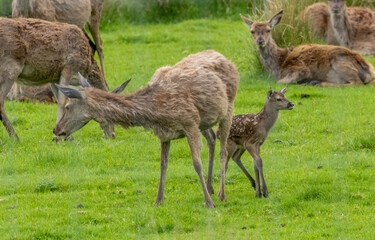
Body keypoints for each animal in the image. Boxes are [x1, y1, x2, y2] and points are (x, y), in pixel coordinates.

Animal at [52, 50, 241, 208]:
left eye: (68, 106)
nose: (56, 129)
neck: (157, 112)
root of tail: (228, 61)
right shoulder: (165, 134)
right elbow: (163, 164)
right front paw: (158, 200)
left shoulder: (190, 123)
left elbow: (196, 163)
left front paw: (209, 203)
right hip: (205, 121)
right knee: (212, 138)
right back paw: (210, 187)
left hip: (228, 107)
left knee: (223, 151)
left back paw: (220, 194)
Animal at [241, 11, 375, 87]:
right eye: (252, 31)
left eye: (268, 30)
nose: (260, 41)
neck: (278, 64)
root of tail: (369, 70)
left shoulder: (301, 69)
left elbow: (278, 82)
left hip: (340, 62)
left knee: (356, 82)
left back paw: (317, 83)